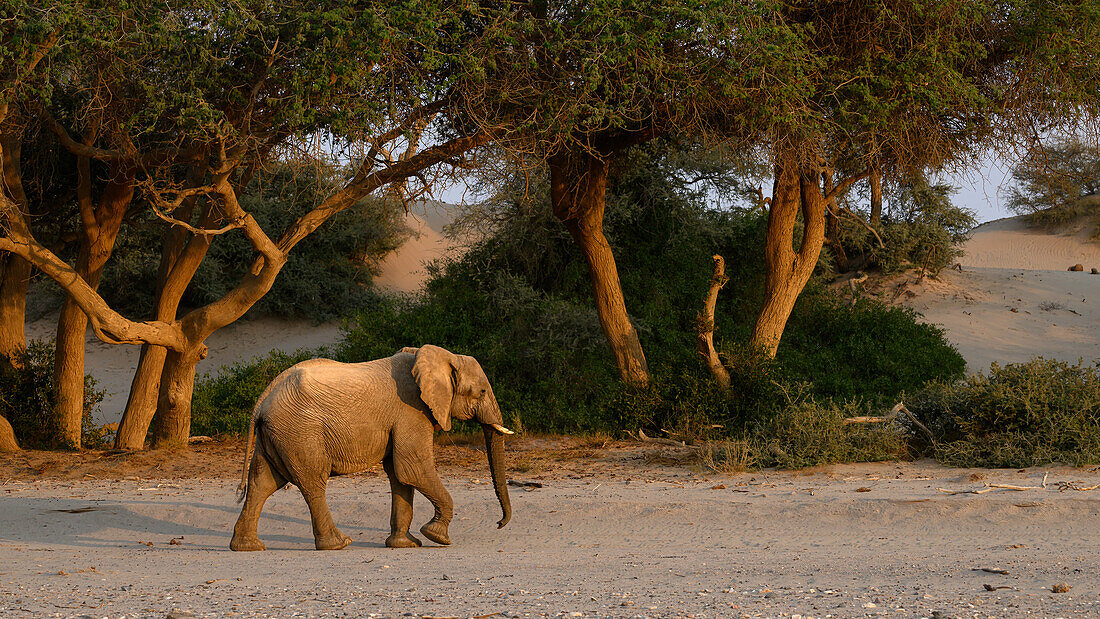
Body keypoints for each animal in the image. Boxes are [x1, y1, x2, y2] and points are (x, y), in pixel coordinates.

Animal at [226, 343, 514, 551]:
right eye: (482, 392)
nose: (499, 524)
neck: (438, 357)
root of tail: (263, 398)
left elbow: (400, 474)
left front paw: (406, 544)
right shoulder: (411, 410)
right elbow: (413, 468)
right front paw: (437, 537)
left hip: (276, 434)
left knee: (263, 483)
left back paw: (247, 547)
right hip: (299, 431)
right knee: (312, 483)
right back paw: (339, 544)